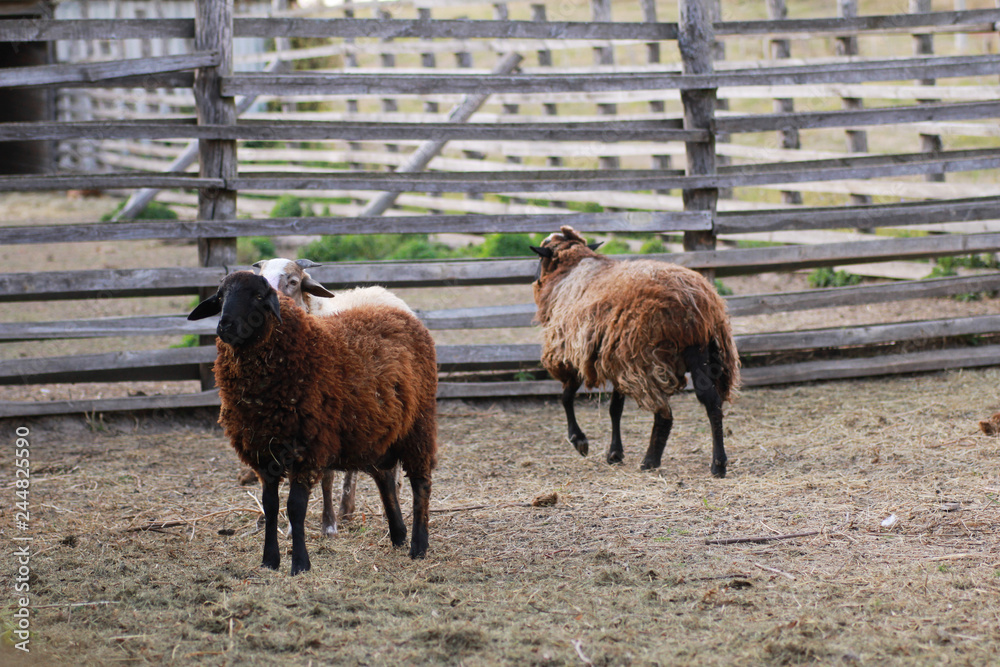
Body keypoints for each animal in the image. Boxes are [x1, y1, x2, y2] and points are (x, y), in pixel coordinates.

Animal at [530, 225, 740, 478]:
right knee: (711, 402)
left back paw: (650, 461)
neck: (569, 270)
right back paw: (718, 464)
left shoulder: (571, 352)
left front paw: (579, 440)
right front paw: (614, 453)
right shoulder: (613, 358)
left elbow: (566, 397)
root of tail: (696, 302)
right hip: (698, 353)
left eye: (540, 258)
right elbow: (615, 409)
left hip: (647, 359)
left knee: (664, 413)